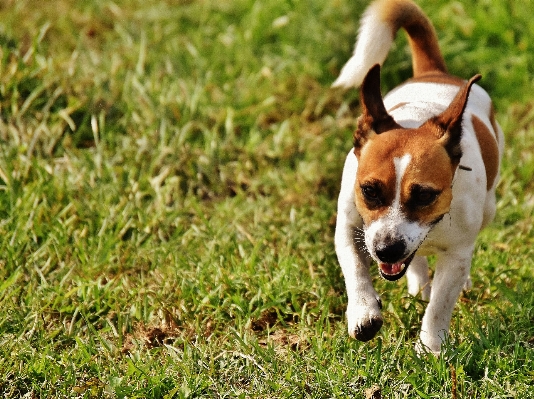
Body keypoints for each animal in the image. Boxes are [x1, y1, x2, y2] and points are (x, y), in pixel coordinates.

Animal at [332, 0, 504, 356]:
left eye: (425, 195)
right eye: (369, 190)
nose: (386, 250)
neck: (419, 119)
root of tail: (432, 72)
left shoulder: (456, 252)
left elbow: (440, 304)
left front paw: (430, 348)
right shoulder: (350, 226)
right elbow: (355, 268)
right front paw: (363, 313)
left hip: (488, 208)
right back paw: (417, 283)